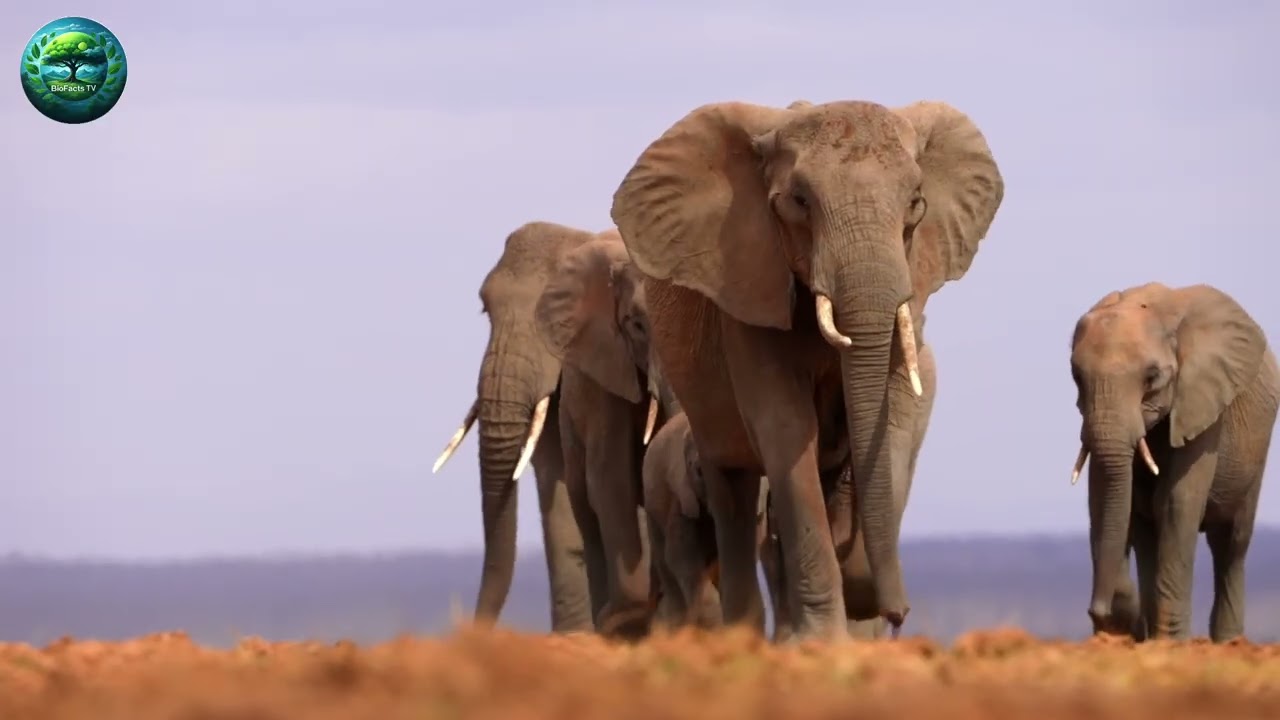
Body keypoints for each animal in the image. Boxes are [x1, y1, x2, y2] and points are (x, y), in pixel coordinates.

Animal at [609, 98, 1005, 639]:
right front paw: (822, 640)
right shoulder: (748, 287)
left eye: (916, 202)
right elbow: (787, 429)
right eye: (799, 201)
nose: (899, 614)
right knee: (733, 492)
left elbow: (897, 414)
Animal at [1068, 282, 1279, 643]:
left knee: (1231, 543)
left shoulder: (1201, 399)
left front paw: (1171, 643)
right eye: (1076, 376)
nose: (1101, 612)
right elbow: (1114, 502)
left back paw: (1229, 643)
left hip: (1256, 449)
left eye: (1152, 377)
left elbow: (1174, 503)